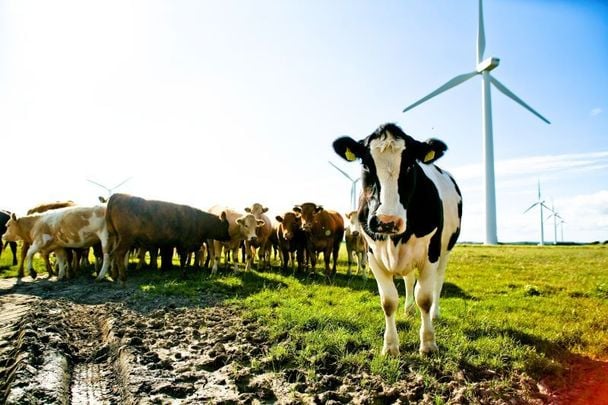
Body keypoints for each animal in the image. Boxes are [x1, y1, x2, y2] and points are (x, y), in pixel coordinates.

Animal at [332, 122, 460, 354]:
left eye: (410, 165)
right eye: (366, 164)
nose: (387, 221)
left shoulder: (430, 254)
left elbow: (424, 298)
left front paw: (428, 344)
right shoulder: (373, 256)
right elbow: (389, 301)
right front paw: (390, 346)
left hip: (445, 250)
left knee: (437, 282)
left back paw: (435, 313)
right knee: (409, 280)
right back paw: (408, 309)